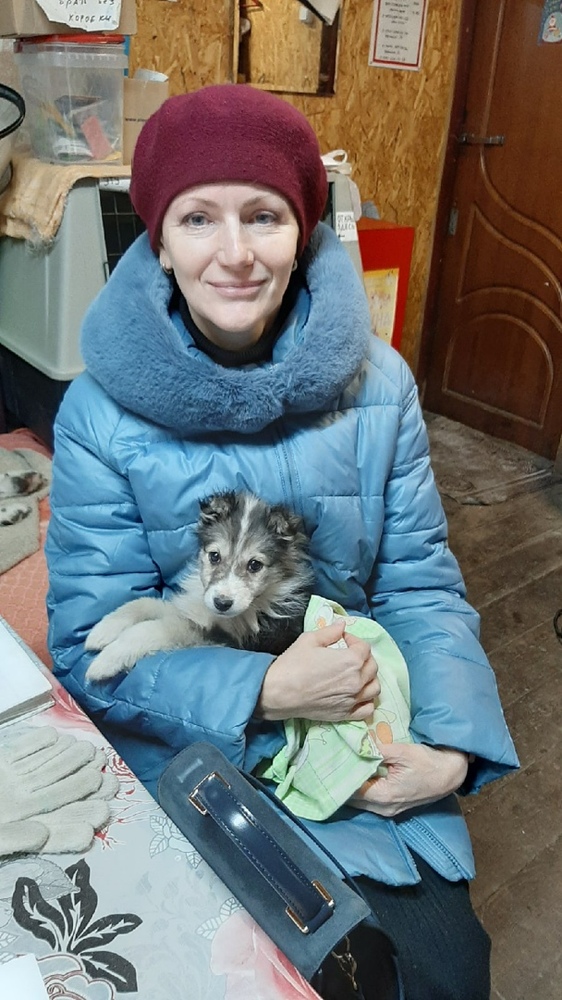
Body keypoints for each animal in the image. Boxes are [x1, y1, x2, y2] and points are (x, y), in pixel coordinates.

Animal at [85, 491, 314, 681]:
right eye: (214, 556)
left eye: (255, 565)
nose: (222, 603)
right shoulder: (193, 608)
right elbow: (146, 603)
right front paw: (102, 631)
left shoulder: (225, 639)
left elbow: (156, 628)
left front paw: (107, 660)